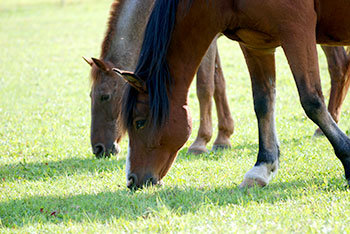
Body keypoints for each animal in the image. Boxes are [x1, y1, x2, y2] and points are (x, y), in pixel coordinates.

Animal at [85, 0, 234, 158]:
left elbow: (205, 88)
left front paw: (200, 142)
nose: (98, 149)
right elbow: (219, 85)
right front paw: (223, 138)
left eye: (105, 96)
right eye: (90, 95)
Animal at [115, 0, 350, 188]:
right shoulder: (256, 43)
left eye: (139, 122)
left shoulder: (296, 29)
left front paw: (347, 159)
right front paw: (262, 167)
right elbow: (263, 103)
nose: (132, 180)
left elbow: (311, 101)